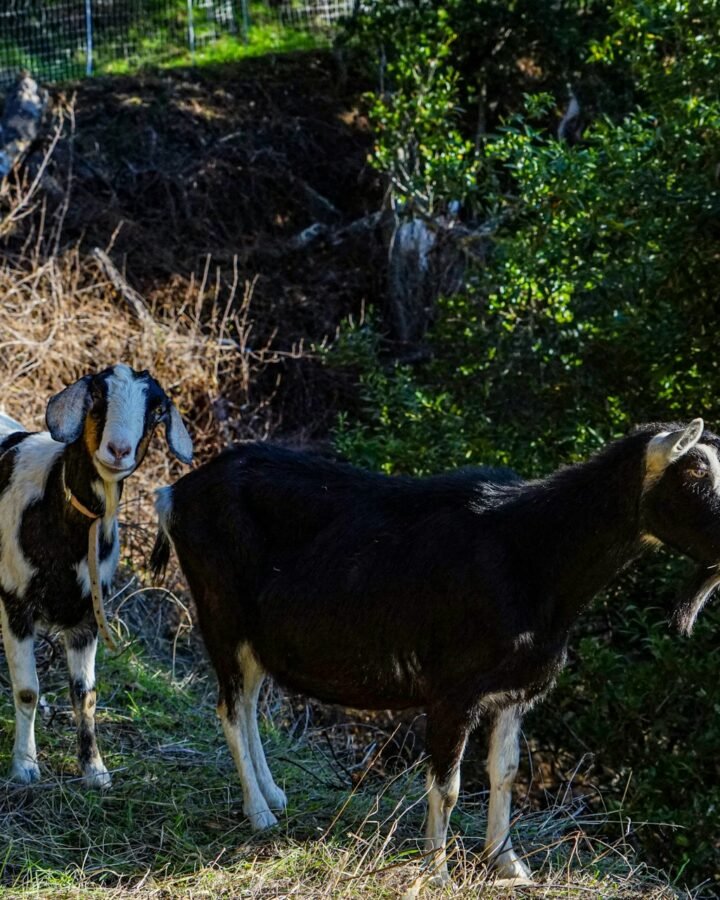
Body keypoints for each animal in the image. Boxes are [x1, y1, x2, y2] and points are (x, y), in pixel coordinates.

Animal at [0, 364, 192, 788]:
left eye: (157, 411)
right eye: (97, 397)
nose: (118, 450)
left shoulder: (87, 620)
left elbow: (84, 694)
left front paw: (94, 769)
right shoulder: (15, 602)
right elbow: (27, 690)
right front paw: (25, 765)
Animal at [150, 419, 720, 884]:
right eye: (694, 473)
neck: (535, 553)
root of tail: (175, 492)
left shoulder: (515, 691)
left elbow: (506, 772)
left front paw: (509, 864)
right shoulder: (453, 691)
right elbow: (447, 785)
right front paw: (437, 872)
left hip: (254, 635)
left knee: (247, 704)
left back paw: (273, 795)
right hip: (220, 613)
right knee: (229, 708)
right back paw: (259, 813)